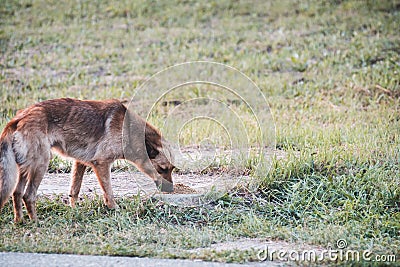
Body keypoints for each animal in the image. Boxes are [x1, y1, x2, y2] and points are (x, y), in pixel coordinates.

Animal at [0, 99, 175, 223]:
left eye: (172, 169)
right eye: (162, 169)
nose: (172, 189)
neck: (128, 131)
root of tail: (18, 118)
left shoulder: (80, 163)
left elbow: (74, 191)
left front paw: (74, 210)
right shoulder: (102, 164)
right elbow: (108, 192)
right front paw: (114, 209)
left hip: (26, 168)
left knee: (17, 193)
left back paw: (20, 221)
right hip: (41, 165)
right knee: (28, 195)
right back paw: (35, 222)